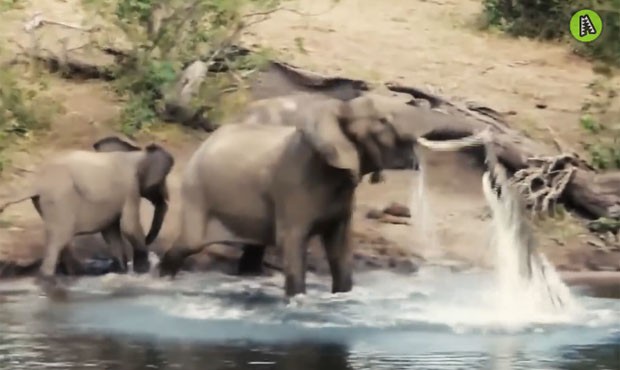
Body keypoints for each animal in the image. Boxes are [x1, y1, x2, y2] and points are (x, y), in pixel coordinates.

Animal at [0, 137, 174, 288]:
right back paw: (49, 280)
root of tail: (36, 182)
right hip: (60, 197)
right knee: (60, 237)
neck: (135, 154)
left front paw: (122, 271)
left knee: (61, 238)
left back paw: (73, 275)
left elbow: (111, 232)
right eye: (161, 181)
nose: (149, 240)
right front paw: (142, 271)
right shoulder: (130, 187)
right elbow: (128, 227)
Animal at [156, 96, 490, 298]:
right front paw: (297, 300)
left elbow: (339, 249)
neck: (337, 109)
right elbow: (293, 243)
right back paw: (160, 280)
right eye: (383, 120)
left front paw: (342, 297)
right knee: (188, 244)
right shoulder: (294, 186)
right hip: (197, 191)